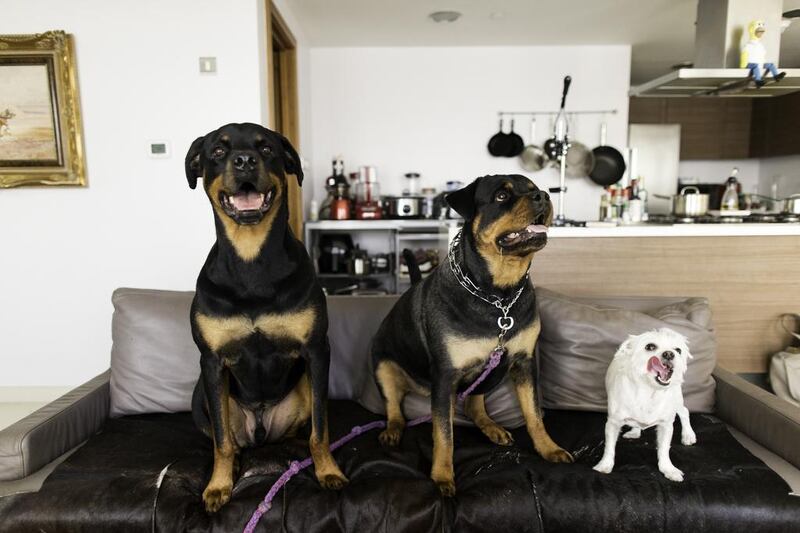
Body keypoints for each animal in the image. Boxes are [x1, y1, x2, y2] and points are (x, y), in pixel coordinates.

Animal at [592, 326, 696, 480]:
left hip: (677, 399)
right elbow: (609, 447)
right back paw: (635, 432)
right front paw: (605, 465)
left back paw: (688, 435)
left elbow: (664, 449)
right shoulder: (613, 423)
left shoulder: (666, 425)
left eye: (678, 350)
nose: (669, 354)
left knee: (684, 412)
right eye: (650, 347)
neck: (649, 392)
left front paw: (668, 469)